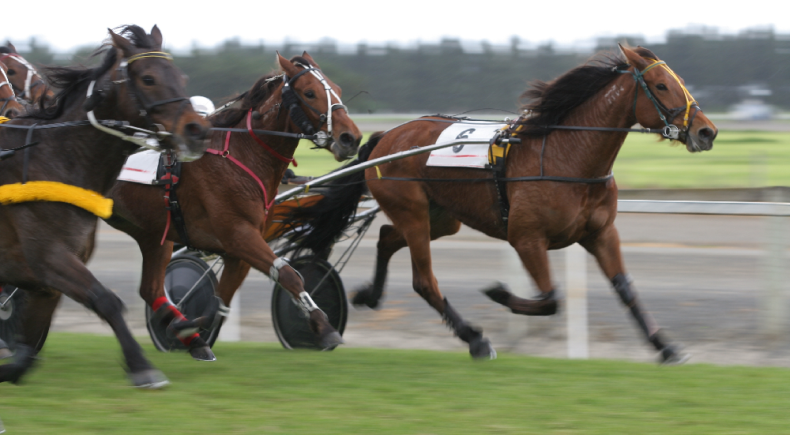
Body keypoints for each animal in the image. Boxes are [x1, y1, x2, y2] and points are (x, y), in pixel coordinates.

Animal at [0, 25, 210, 386]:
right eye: (149, 78)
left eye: (180, 76)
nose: (196, 130)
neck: (53, 158)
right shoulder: (49, 256)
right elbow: (106, 300)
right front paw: (142, 366)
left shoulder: (45, 277)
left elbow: (26, 347)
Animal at [104, 51, 362, 362]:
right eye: (310, 92)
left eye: (337, 89)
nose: (351, 138)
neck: (240, 155)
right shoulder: (238, 234)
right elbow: (289, 274)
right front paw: (324, 327)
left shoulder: (238, 248)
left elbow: (221, 300)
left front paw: (189, 329)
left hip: (155, 235)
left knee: (151, 289)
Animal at [284, 46, 716, 362]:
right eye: (661, 85)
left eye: (677, 82)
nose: (706, 131)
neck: (567, 156)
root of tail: (386, 137)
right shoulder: (526, 237)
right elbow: (550, 298)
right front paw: (498, 293)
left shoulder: (601, 233)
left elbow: (625, 289)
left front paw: (666, 347)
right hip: (412, 210)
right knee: (424, 280)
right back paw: (474, 339)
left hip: (441, 216)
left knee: (389, 236)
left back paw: (370, 295)